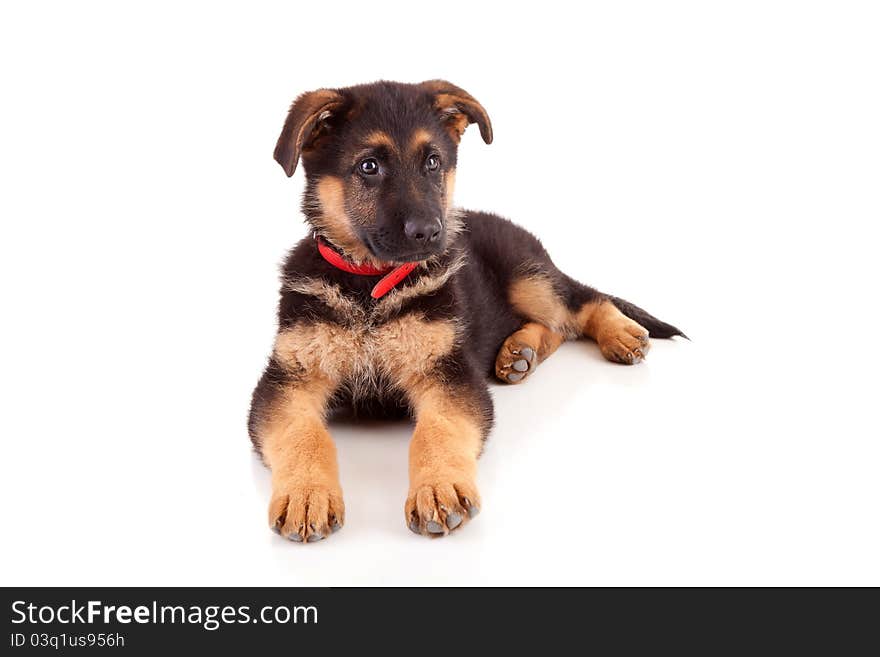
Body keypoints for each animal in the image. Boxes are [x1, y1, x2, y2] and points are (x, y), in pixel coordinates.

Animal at [249, 79, 688, 540]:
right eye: (369, 166)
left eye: (433, 162)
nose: (430, 232)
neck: (370, 287)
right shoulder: (290, 380)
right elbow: (303, 435)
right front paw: (306, 494)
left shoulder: (449, 372)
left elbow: (437, 431)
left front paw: (438, 487)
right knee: (555, 326)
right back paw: (518, 354)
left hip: (528, 277)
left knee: (580, 302)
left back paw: (617, 333)